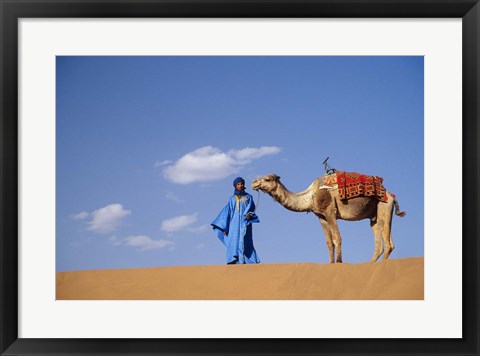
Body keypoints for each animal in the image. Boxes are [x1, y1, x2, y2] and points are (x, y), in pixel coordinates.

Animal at [251, 174, 404, 262]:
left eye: (267, 179)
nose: (253, 182)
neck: (310, 195)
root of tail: (391, 195)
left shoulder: (330, 211)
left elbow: (337, 238)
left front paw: (339, 263)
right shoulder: (321, 216)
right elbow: (329, 242)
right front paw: (330, 263)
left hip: (384, 206)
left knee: (388, 242)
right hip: (375, 215)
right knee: (381, 238)